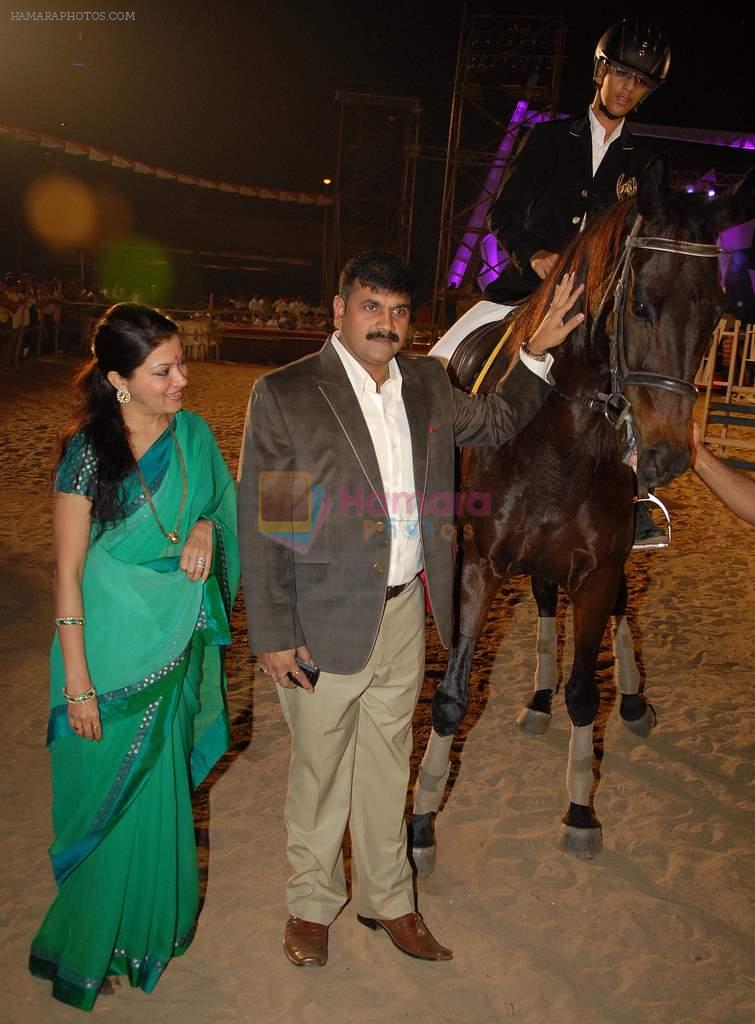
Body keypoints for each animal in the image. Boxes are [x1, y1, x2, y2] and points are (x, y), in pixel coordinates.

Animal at [411, 157, 753, 864]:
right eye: (641, 303)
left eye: (717, 314)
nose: (666, 455)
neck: (561, 432)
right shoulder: (481, 565)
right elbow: (454, 696)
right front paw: (422, 824)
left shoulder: (597, 571)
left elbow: (584, 693)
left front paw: (579, 810)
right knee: (545, 601)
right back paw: (538, 698)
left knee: (616, 610)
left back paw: (633, 703)